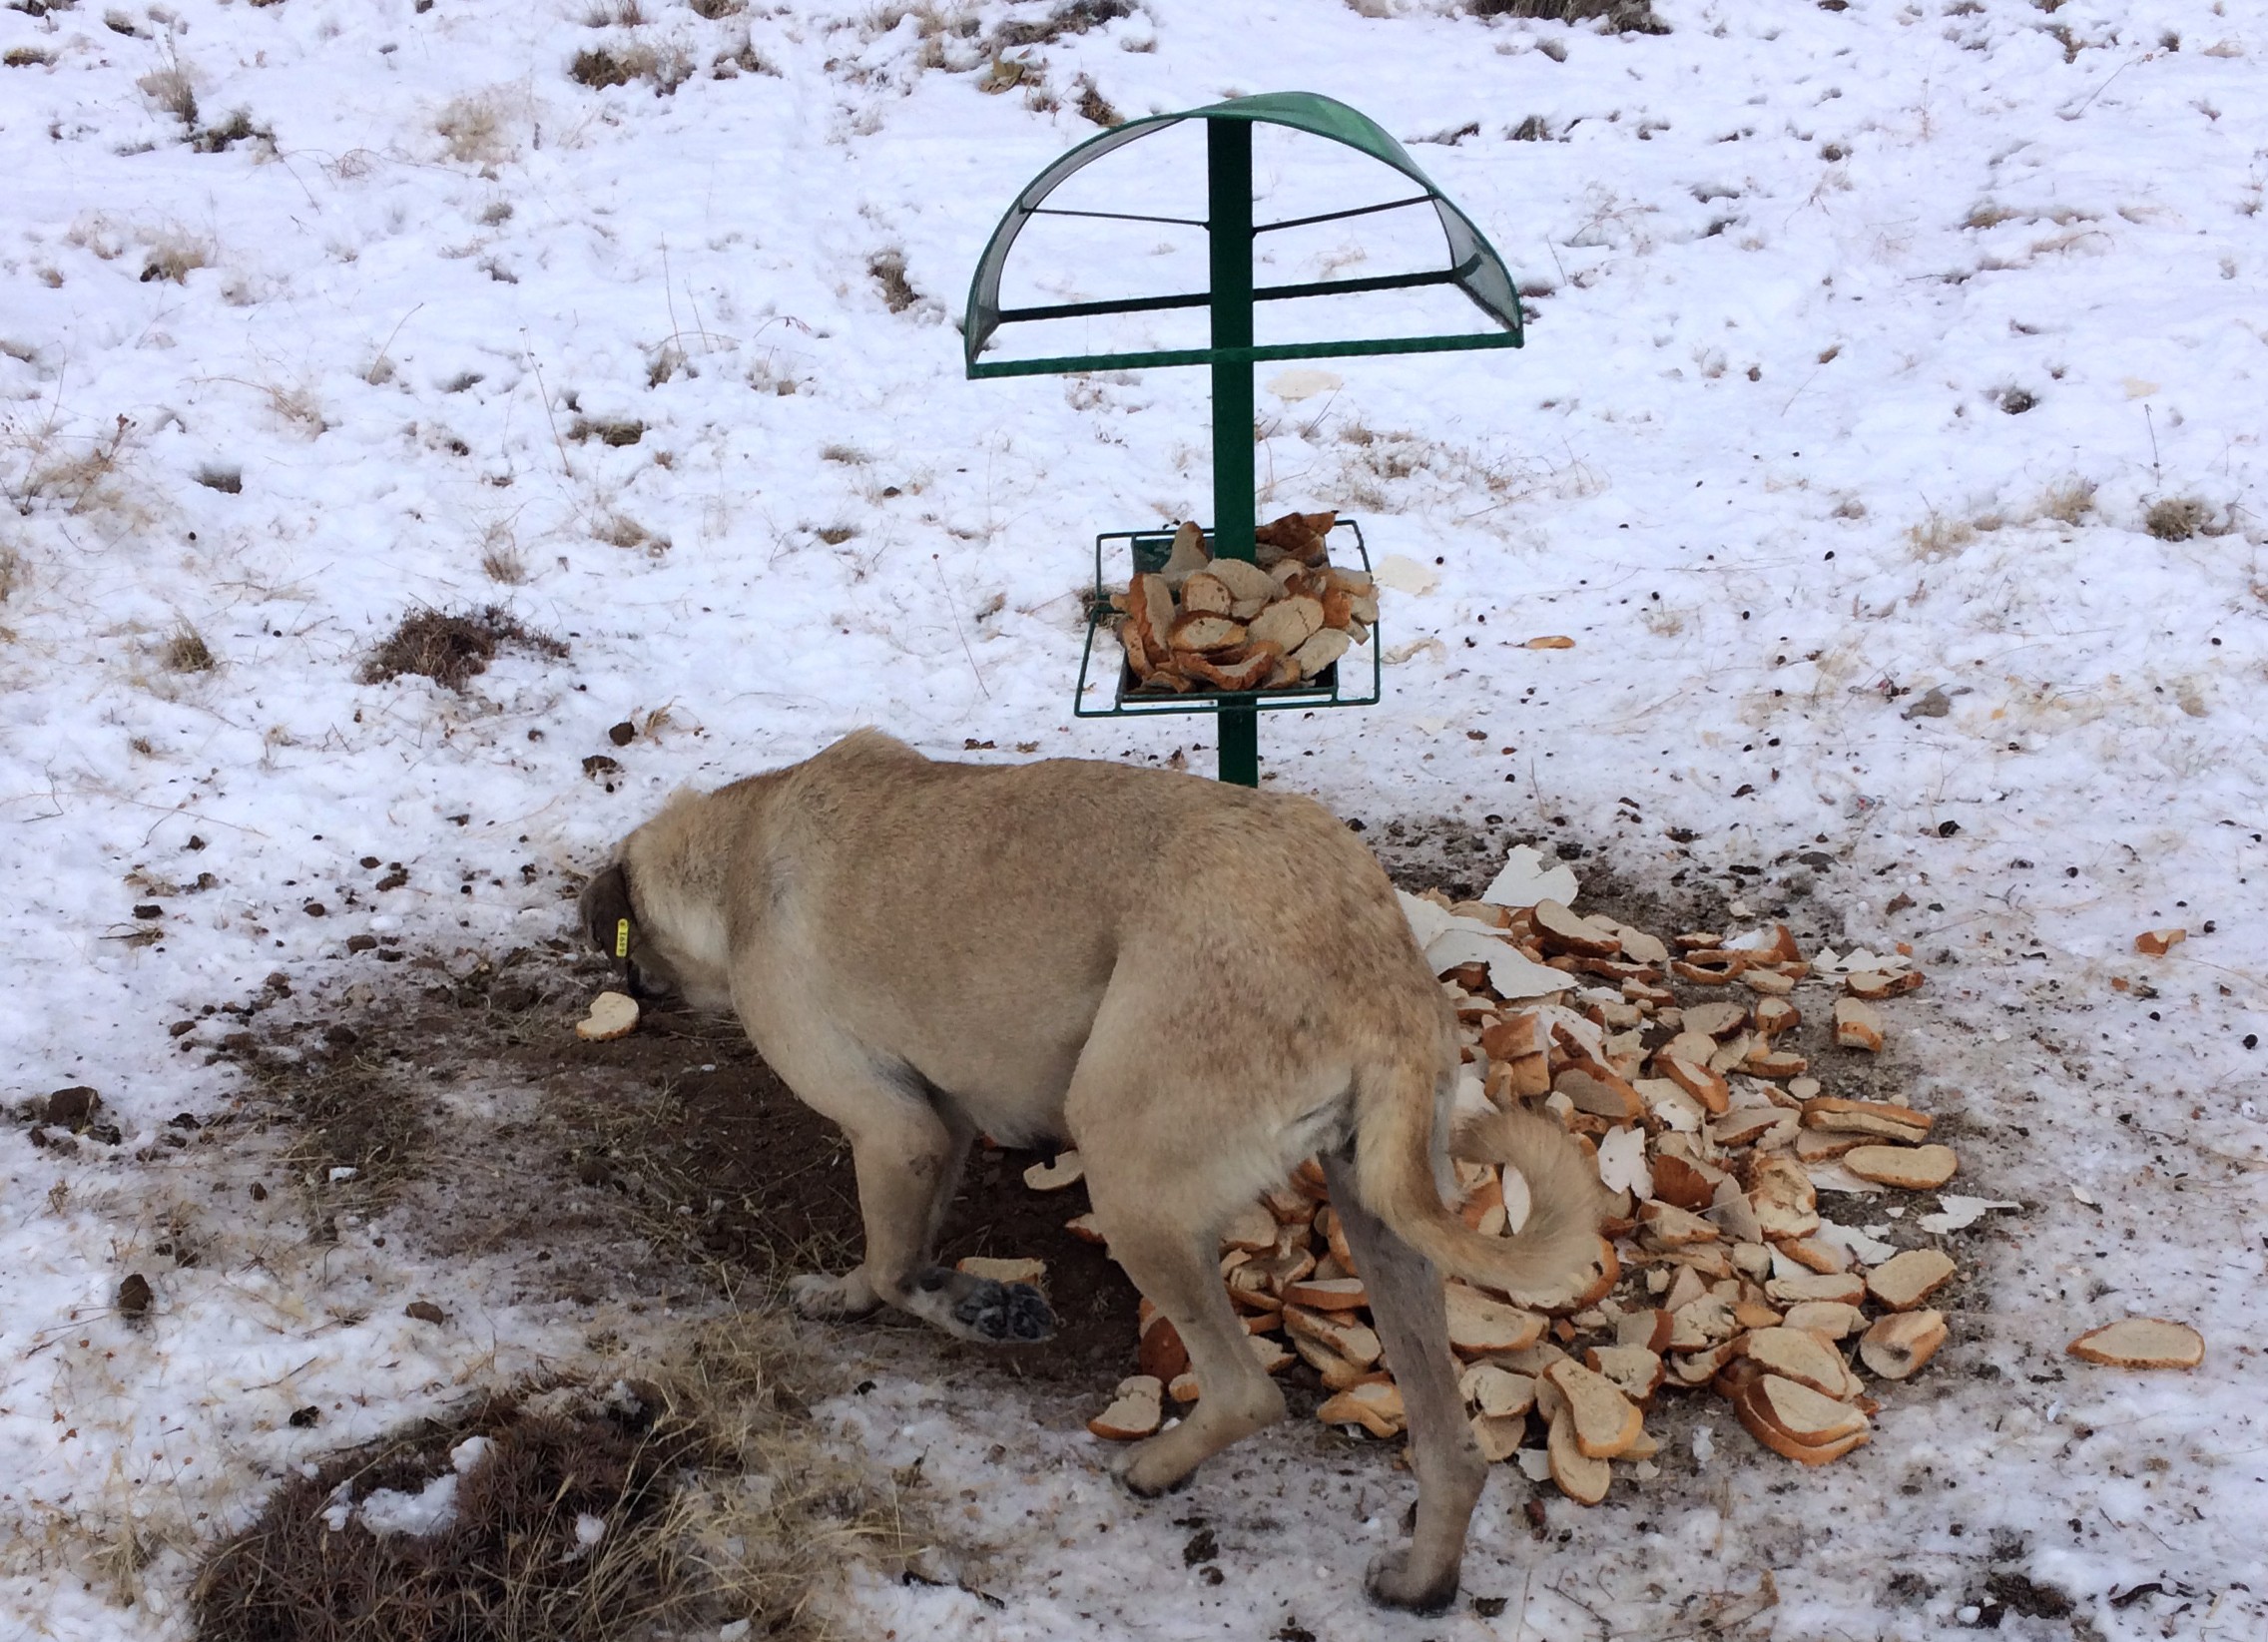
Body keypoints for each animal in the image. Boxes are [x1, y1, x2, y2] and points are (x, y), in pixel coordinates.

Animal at [585, 735, 1614, 1614]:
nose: (638, 993)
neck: (737, 849)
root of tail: (1376, 984)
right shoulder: (942, 1123)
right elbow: (904, 1244)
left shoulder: (894, 1127)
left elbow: (892, 1264)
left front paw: (954, 1306)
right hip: (1383, 1218)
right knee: (1452, 1452)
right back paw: (1422, 1582)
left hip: (1130, 1179)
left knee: (1245, 1390)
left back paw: (1157, 1469)